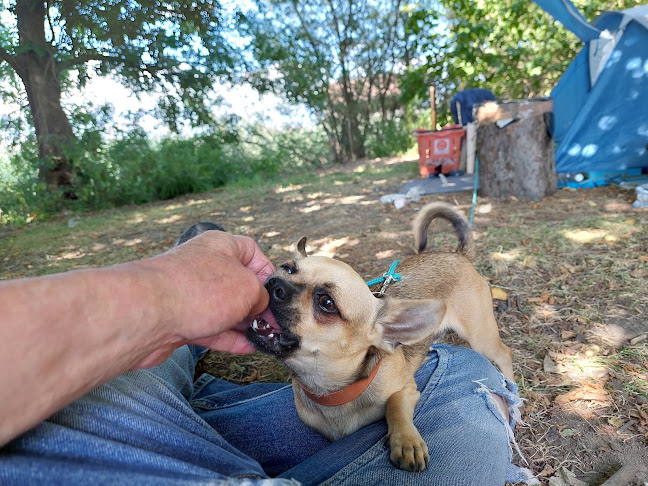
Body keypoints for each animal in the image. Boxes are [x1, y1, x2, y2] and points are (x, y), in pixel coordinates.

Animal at [246, 200, 512, 470]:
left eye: (327, 303)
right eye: (287, 268)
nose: (275, 284)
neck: (331, 392)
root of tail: (458, 254)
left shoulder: (408, 389)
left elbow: (395, 404)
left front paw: (405, 440)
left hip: (481, 337)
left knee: (505, 354)